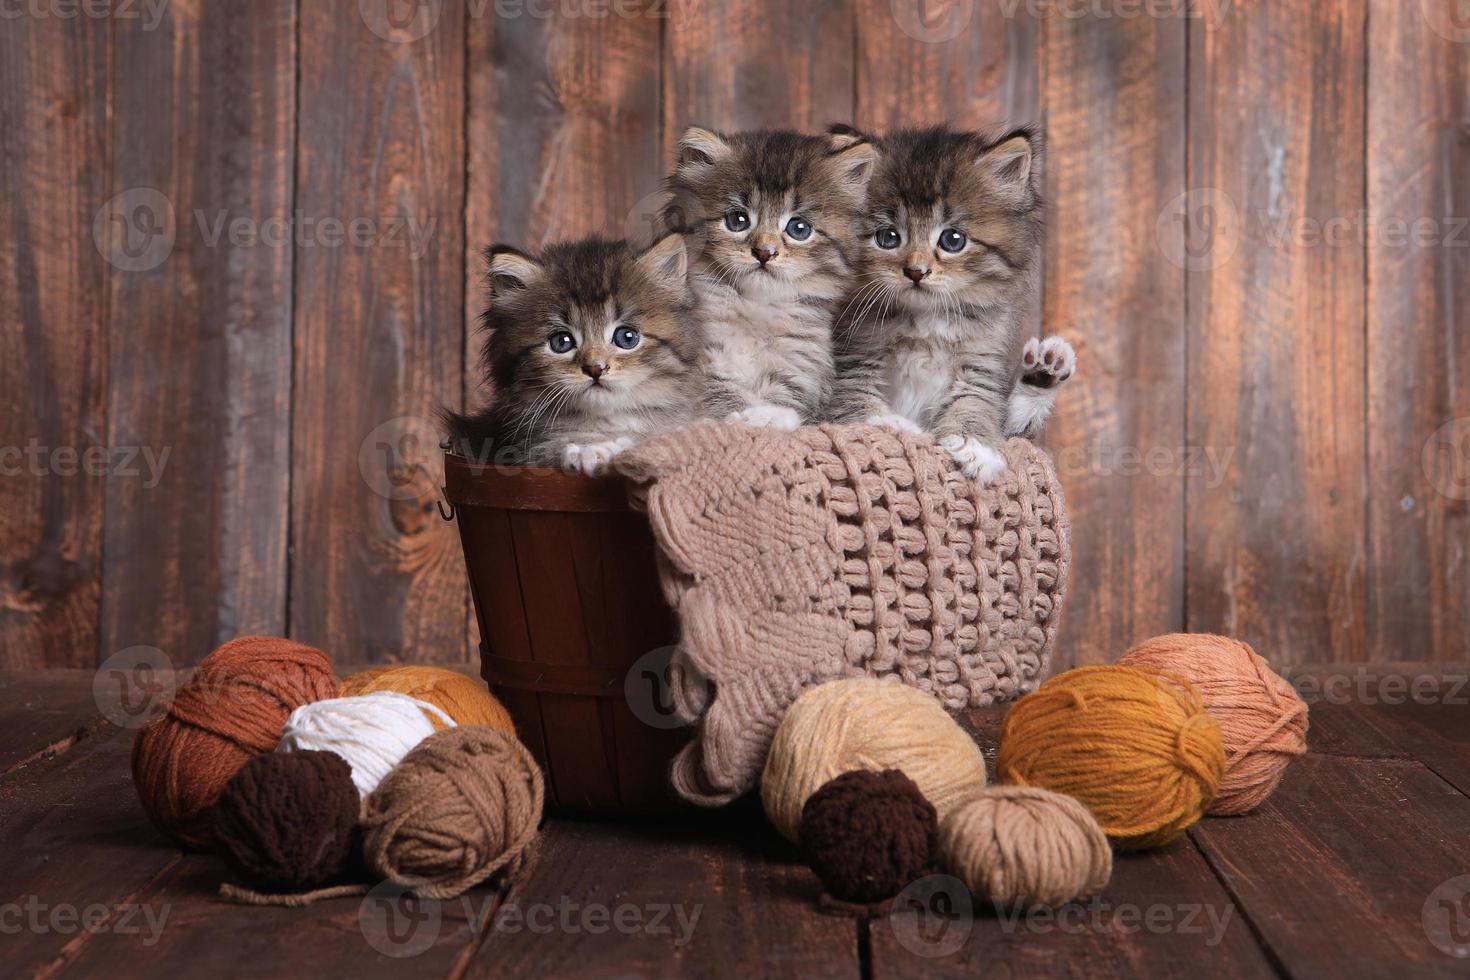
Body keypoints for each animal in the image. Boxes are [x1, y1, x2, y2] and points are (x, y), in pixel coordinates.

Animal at [664, 124, 876, 426]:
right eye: (737, 220)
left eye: (799, 228)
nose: (764, 252)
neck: (757, 311)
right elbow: (720, 394)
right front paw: (752, 415)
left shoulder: (804, 370)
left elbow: (787, 399)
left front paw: (772, 415)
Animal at [829, 127, 1070, 481]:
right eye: (888, 237)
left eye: (953, 240)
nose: (916, 271)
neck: (924, 321)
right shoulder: (853, 362)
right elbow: (855, 404)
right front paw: (891, 425)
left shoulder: (980, 361)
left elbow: (980, 404)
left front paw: (976, 446)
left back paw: (1045, 368)